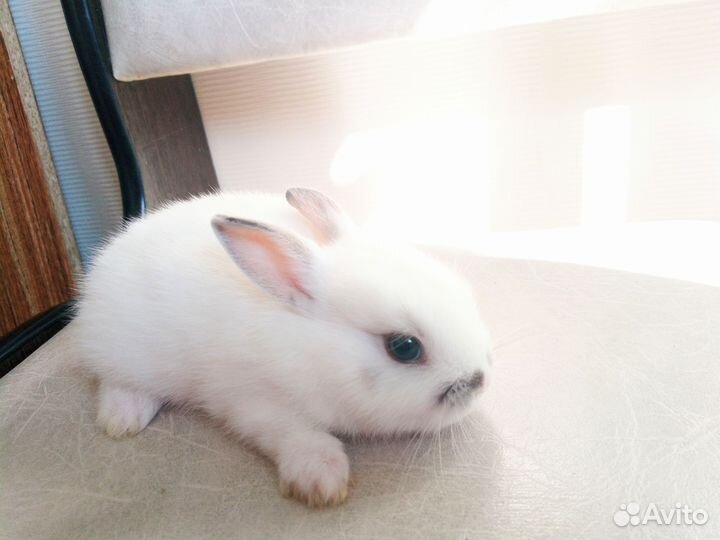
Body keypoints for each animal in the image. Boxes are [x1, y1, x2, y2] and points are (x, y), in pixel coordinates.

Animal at [73, 187, 492, 507]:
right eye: (404, 347)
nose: (480, 379)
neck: (314, 348)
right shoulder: (252, 402)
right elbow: (293, 434)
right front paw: (321, 479)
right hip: (129, 353)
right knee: (113, 380)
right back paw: (123, 419)